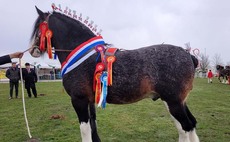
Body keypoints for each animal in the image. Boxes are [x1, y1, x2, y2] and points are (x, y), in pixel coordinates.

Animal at [29, 6, 199, 142]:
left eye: (38, 28)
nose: (33, 50)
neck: (83, 55)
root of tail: (187, 54)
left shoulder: (79, 100)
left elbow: (85, 131)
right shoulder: (90, 101)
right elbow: (93, 126)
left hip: (173, 102)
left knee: (185, 127)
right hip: (178, 102)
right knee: (190, 125)